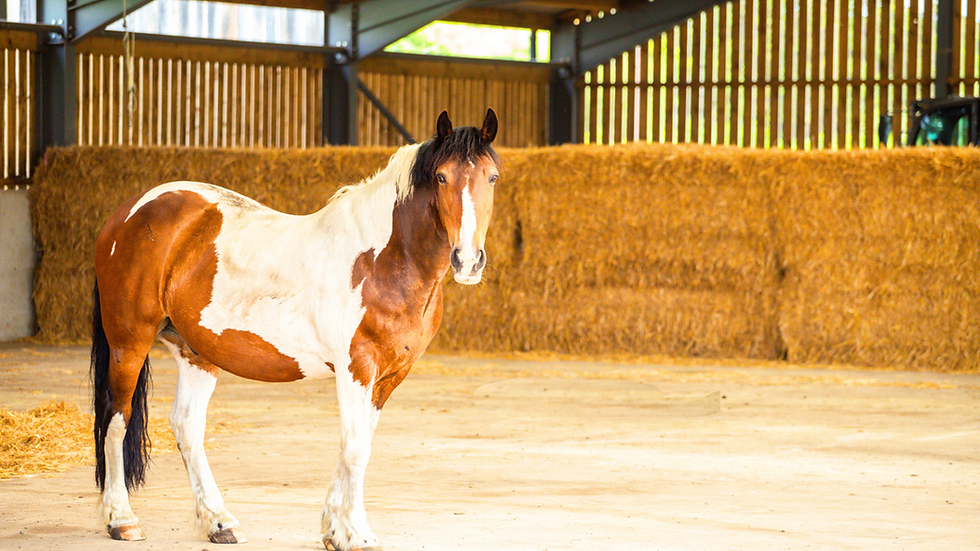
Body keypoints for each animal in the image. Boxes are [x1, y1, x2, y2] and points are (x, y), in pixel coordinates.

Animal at [90, 109, 500, 550]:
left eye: (492, 177)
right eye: (441, 177)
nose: (468, 260)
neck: (382, 259)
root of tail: (129, 213)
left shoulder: (389, 376)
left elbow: (358, 444)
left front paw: (335, 529)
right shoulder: (357, 369)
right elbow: (355, 448)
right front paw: (357, 533)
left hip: (195, 351)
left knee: (186, 426)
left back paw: (219, 522)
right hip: (128, 342)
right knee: (116, 418)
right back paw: (121, 519)